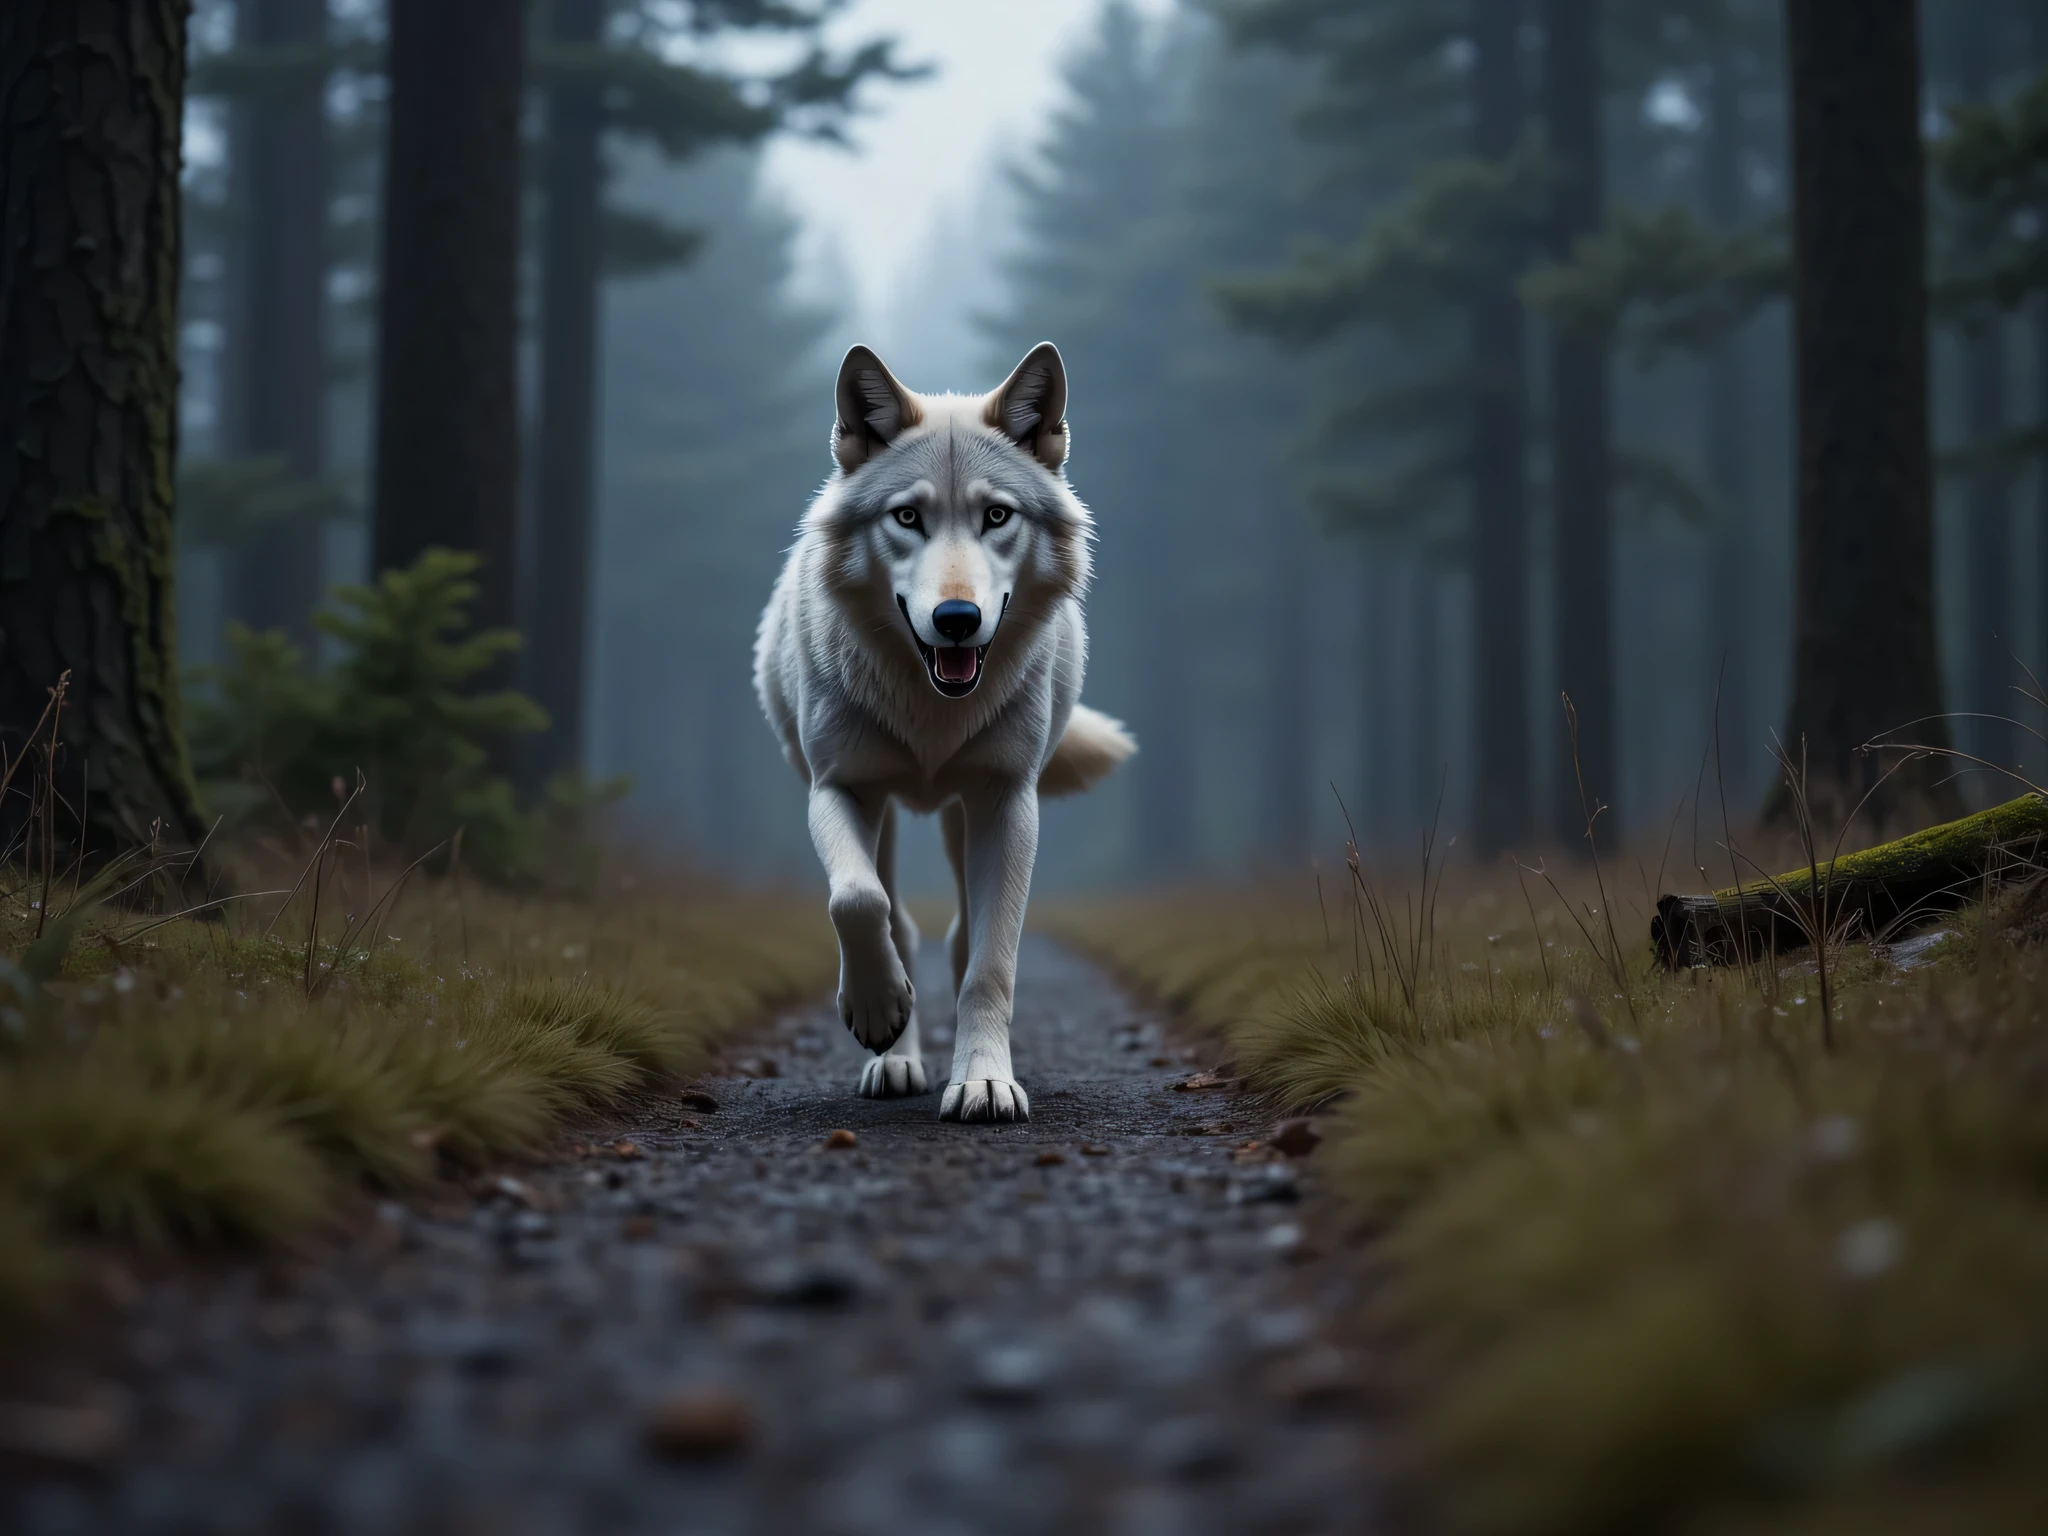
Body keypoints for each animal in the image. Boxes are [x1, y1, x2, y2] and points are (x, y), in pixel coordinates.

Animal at [754, 342, 1136, 1123]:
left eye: (996, 515)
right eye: (907, 517)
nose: (957, 619)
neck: (934, 707)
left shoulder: (1007, 804)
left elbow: (990, 964)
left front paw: (984, 1083)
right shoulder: (839, 787)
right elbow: (857, 901)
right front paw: (877, 1011)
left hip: (965, 819)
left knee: (960, 938)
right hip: (889, 814)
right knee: (899, 919)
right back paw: (894, 1058)